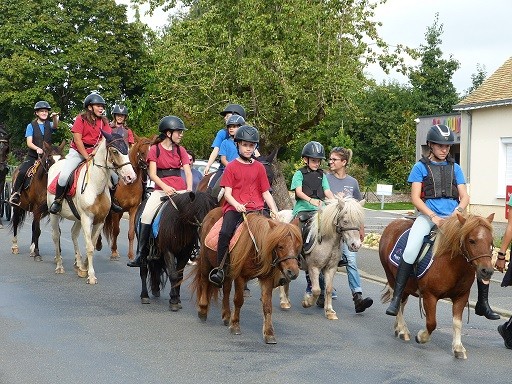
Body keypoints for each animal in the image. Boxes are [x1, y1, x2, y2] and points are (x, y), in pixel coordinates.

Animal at [46, 132, 136, 284]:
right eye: (115, 151)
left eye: (128, 151)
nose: (131, 176)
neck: (95, 185)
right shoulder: (87, 218)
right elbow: (89, 247)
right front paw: (91, 275)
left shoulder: (99, 220)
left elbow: (92, 243)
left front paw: (83, 268)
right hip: (55, 215)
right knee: (56, 235)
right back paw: (59, 266)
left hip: (77, 218)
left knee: (73, 234)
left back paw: (78, 263)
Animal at [192, 208, 304, 344]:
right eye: (280, 246)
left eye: (297, 246)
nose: (293, 272)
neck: (256, 247)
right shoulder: (240, 277)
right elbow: (238, 300)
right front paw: (235, 326)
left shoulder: (267, 279)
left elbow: (267, 306)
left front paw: (269, 334)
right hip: (206, 261)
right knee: (204, 281)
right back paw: (203, 310)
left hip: (227, 272)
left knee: (226, 290)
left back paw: (226, 315)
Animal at [378, 213, 494, 360]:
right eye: (472, 240)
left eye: (491, 242)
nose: (487, 271)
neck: (451, 264)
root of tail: (393, 224)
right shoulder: (430, 296)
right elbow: (432, 323)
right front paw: (421, 337)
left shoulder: (461, 297)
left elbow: (457, 323)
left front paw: (458, 348)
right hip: (392, 278)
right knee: (397, 301)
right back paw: (403, 329)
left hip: (407, 286)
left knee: (402, 302)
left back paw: (399, 327)